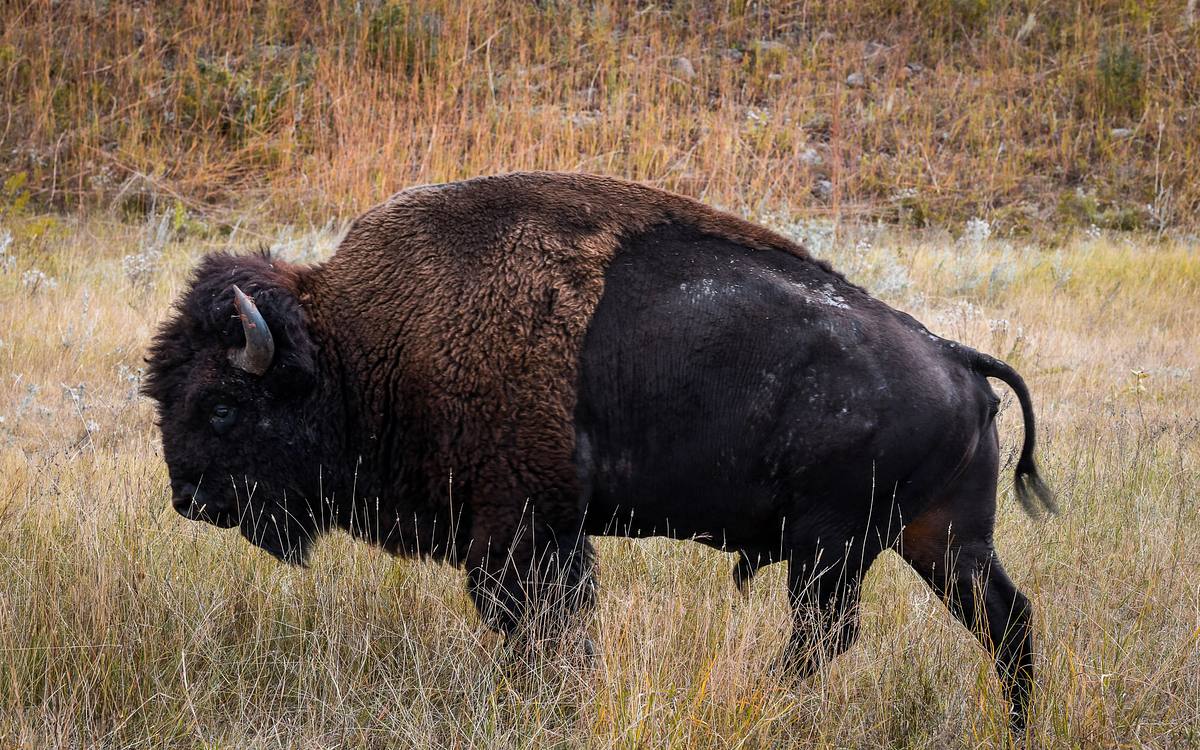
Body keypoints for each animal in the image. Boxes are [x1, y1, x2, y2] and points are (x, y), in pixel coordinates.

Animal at [145, 172, 1054, 730]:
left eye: (221, 405)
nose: (188, 499)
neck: (359, 348)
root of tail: (955, 358)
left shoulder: (522, 531)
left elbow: (544, 627)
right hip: (939, 539)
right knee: (1004, 620)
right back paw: (1016, 726)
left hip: (834, 547)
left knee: (825, 637)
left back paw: (764, 699)